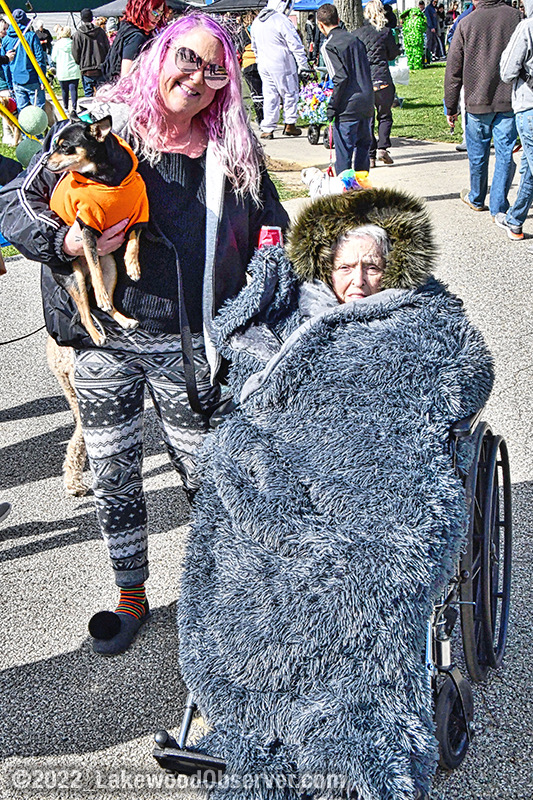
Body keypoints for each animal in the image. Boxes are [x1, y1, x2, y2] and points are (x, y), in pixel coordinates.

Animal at [44, 114, 149, 346]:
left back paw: (124, 319)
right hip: (75, 279)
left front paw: (133, 266)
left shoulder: (139, 213)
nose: (44, 161)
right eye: (54, 144)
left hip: (111, 267)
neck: (108, 180)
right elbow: (94, 265)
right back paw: (96, 334)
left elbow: (134, 240)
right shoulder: (87, 226)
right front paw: (100, 294)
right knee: (85, 313)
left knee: (108, 305)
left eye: (65, 147)